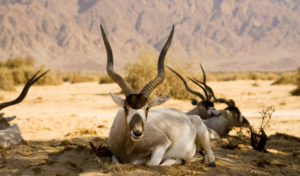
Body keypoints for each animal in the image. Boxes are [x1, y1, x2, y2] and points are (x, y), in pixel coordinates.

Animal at [101, 24, 216, 166]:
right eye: (126, 108)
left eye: (147, 108)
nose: (137, 132)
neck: (129, 149)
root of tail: (188, 116)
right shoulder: (114, 154)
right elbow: (114, 160)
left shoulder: (163, 143)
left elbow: (153, 163)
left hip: (202, 132)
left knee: (208, 155)